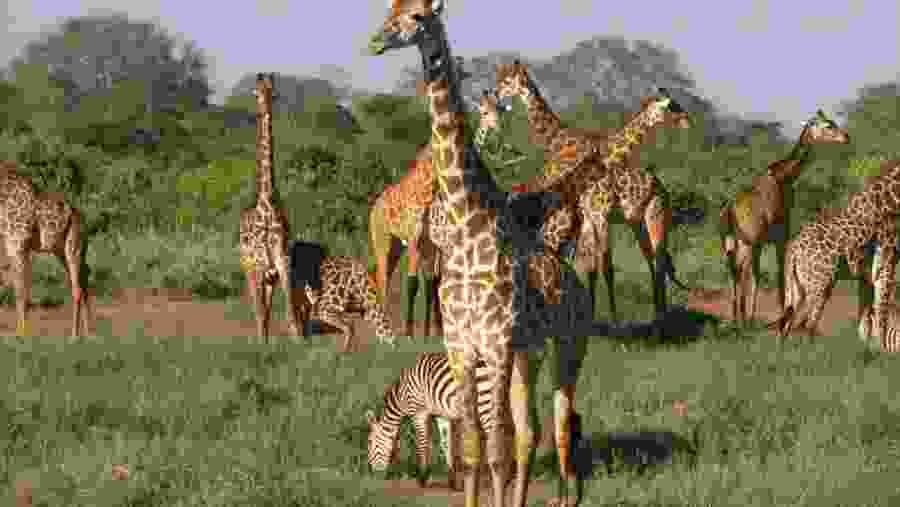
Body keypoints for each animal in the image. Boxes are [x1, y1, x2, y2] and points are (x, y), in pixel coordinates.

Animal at [0, 160, 91, 337]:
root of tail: (79, 216)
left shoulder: (18, 243)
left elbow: (21, 291)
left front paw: (22, 335)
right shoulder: (10, 244)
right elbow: (19, 288)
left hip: (73, 246)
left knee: (77, 288)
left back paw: (74, 336)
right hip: (60, 250)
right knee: (83, 280)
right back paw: (89, 333)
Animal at [368, 88, 508, 338]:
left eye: (499, 110)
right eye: (483, 111)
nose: (497, 130)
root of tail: (374, 207)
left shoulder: (438, 245)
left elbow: (437, 283)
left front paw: (435, 330)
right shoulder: (425, 241)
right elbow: (419, 283)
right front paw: (413, 332)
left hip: (398, 245)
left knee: (384, 276)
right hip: (383, 239)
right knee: (383, 278)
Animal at [495, 60, 692, 321]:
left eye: (506, 80)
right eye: (672, 106)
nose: (687, 120)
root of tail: (661, 188)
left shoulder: (594, 216)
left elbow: (599, 267)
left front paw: (606, 318)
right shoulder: (589, 217)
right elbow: (594, 267)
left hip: (651, 216)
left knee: (657, 260)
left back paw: (661, 315)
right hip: (636, 221)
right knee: (654, 260)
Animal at [719, 110, 850, 324]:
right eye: (828, 126)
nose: (845, 137)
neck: (784, 176)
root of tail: (729, 211)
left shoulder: (763, 241)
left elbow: (759, 276)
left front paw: (754, 316)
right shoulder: (781, 234)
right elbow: (779, 274)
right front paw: (781, 314)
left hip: (732, 244)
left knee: (736, 273)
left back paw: (736, 318)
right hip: (747, 243)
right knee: (742, 273)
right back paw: (742, 319)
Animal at [771, 160, 900, 339]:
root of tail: (794, 249)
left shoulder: (866, 274)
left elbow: (865, 320)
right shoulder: (886, 263)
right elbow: (881, 316)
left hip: (796, 287)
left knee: (788, 325)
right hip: (818, 285)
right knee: (806, 324)